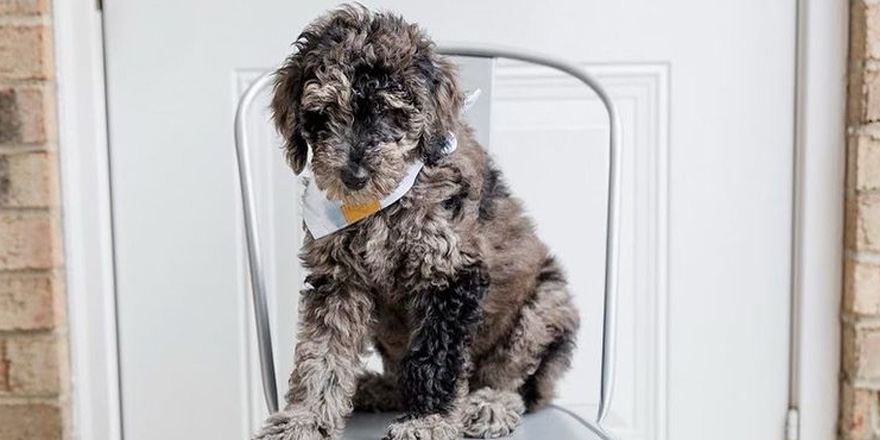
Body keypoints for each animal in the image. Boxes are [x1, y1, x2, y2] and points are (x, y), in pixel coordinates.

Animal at [256, 4, 576, 440]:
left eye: (390, 112)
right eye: (322, 114)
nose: (354, 175)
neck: (381, 204)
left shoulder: (451, 272)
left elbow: (436, 358)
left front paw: (429, 420)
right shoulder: (338, 279)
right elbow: (320, 352)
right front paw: (305, 417)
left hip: (546, 306)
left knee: (520, 381)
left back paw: (491, 403)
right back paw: (375, 388)